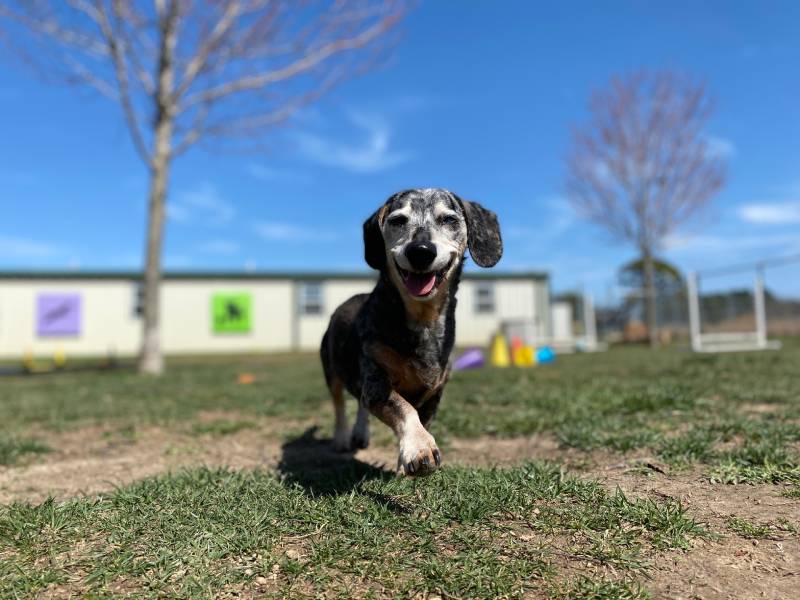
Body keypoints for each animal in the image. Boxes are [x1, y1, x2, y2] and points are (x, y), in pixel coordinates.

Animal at [318, 190, 500, 476]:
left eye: (449, 219)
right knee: (340, 406)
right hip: (331, 369)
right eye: (398, 220)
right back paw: (341, 438)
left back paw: (360, 433)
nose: (420, 251)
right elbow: (403, 408)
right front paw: (420, 448)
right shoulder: (376, 382)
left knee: (359, 403)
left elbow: (420, 418)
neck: (423, 320)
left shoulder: (434, 391)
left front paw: (403, 463)